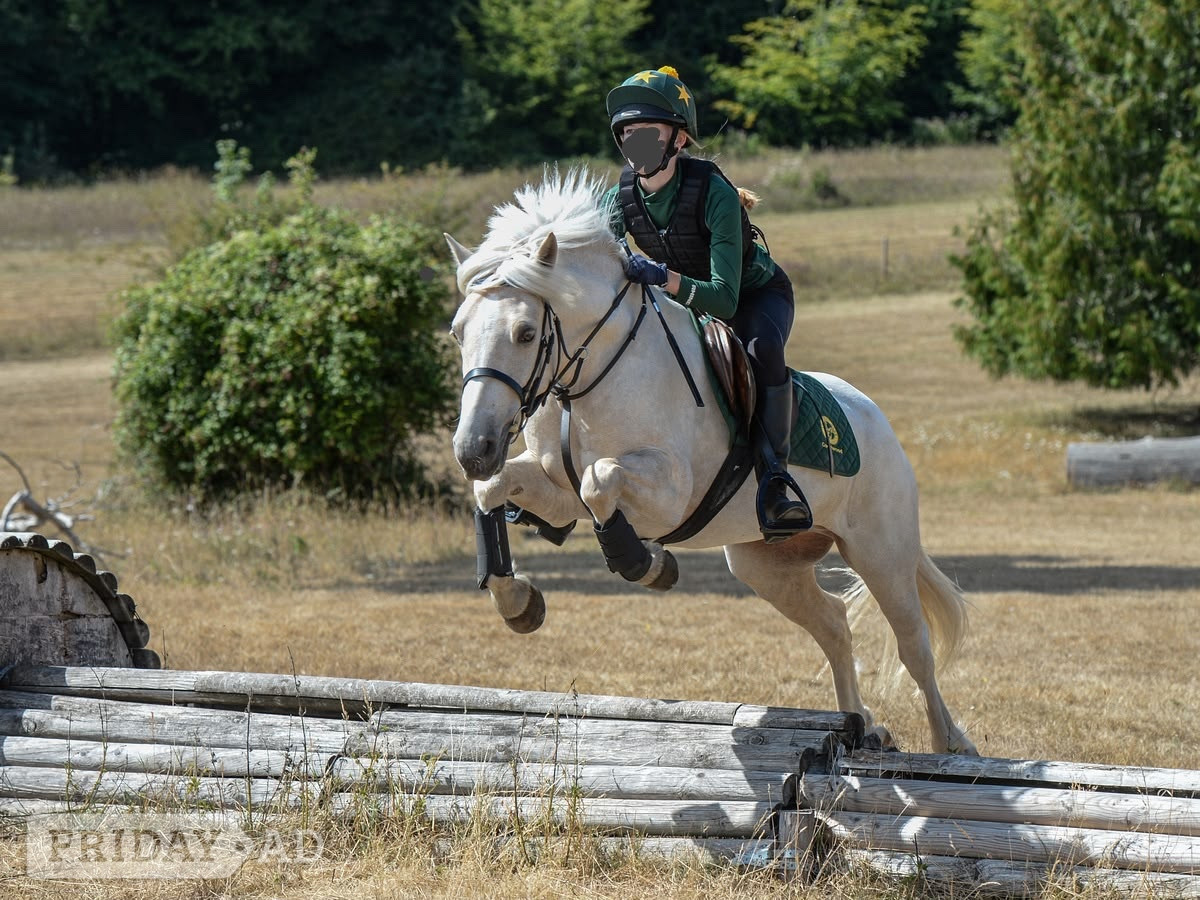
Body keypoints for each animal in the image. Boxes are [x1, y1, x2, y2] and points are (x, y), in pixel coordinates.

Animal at [445, 168, 977, 755]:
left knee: (914, 645)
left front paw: (648, 563)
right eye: (458, 332)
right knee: (834, 625)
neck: (591, 375)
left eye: (525, 333)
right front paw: (518, 601)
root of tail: (875, 420)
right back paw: (860, 724)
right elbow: (496, 492)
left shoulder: (667, 493)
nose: (473, 450)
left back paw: (952, 744)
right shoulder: (554, 488)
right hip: (764, 563)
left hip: (880, 550)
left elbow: (599, 482)